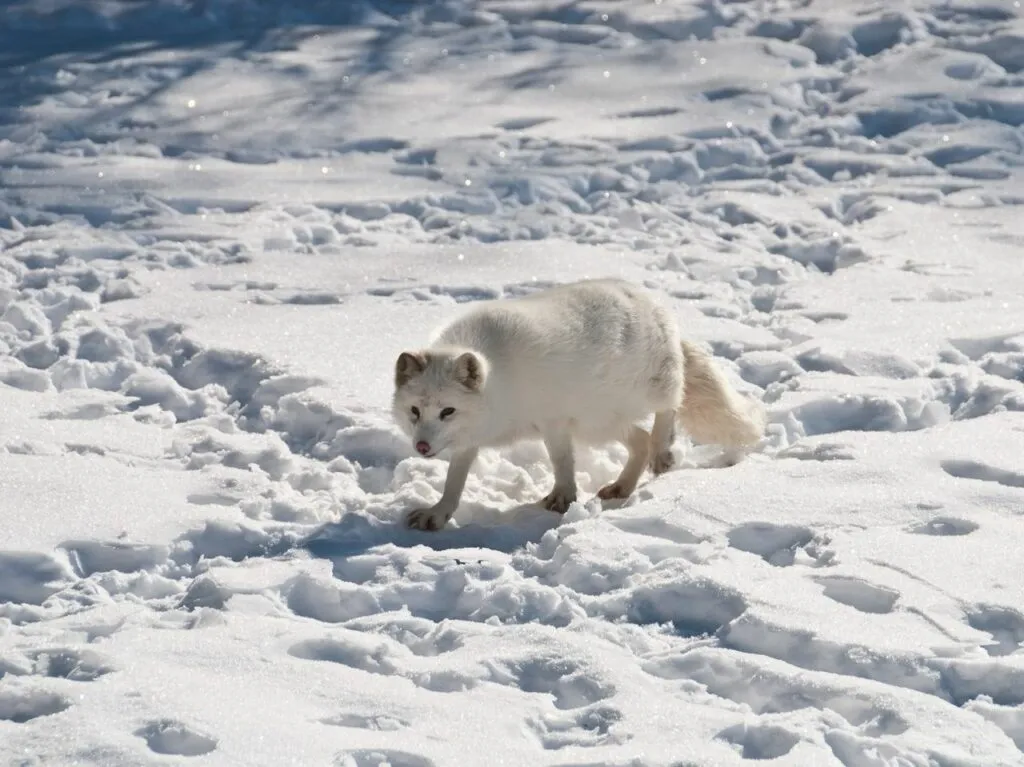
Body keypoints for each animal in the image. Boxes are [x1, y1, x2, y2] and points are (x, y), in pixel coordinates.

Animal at [391, 278, 770, 528]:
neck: (500, 382)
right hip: (599, 422)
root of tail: (649, 301)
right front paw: (438, 513)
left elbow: (561, 461)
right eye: (415, 411)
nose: (422, 447)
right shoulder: (471, 438)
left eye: (448, 411)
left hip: (645, 393)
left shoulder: (553, 420)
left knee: (669, 409)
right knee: (639, 440)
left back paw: (664, 450)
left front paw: (563, 497)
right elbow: (454, 480)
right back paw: (622, 486)